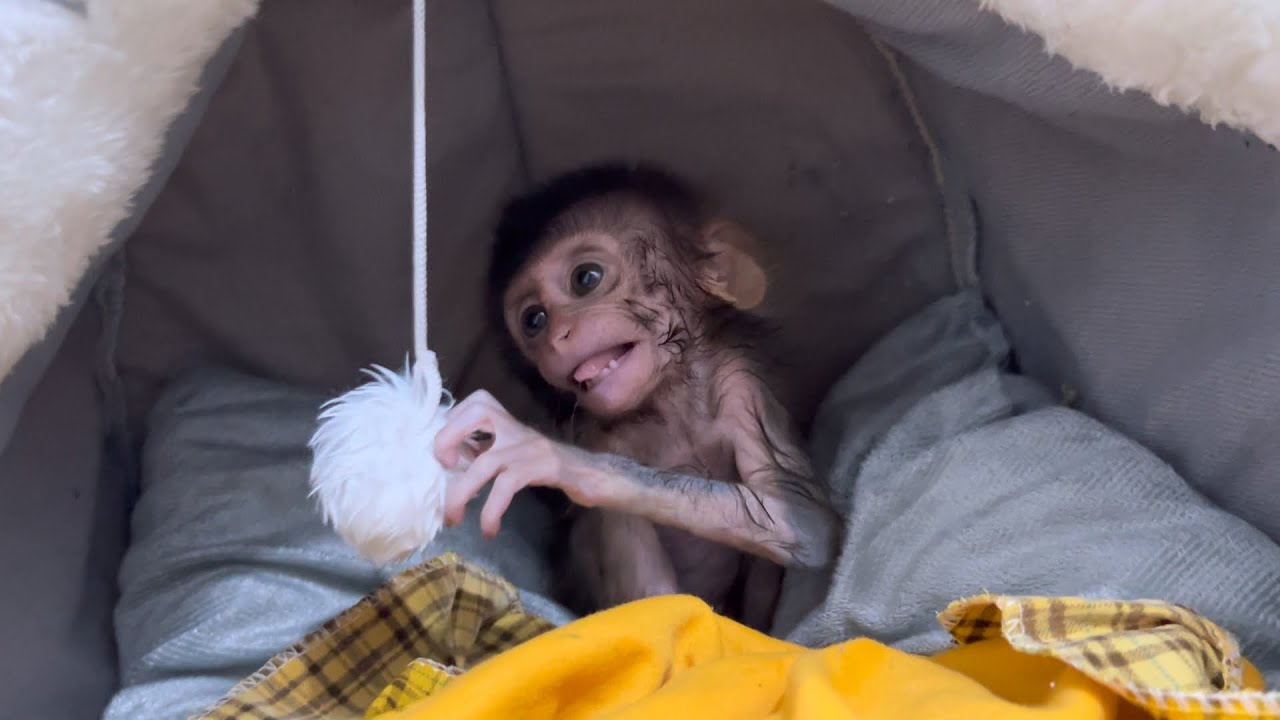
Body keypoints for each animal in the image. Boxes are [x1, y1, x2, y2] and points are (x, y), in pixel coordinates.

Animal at [432, 162, 839, 630]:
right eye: (534, 319)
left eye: (586, 279)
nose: (556, 337)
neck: (666, 403)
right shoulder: (602, 438)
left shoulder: (741, 386)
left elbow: (803, 523)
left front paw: (550, 457)